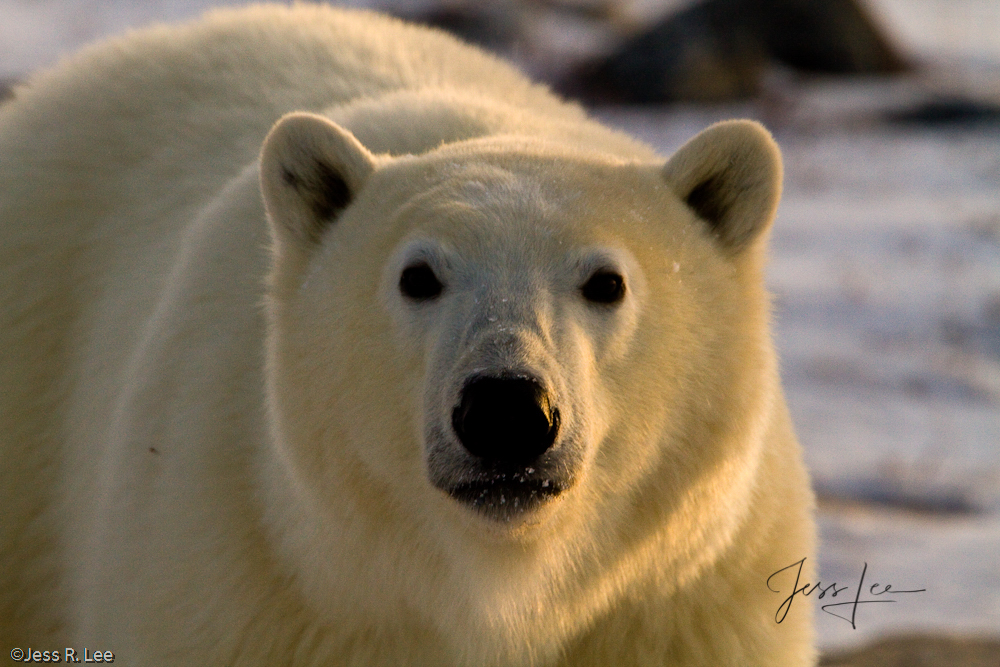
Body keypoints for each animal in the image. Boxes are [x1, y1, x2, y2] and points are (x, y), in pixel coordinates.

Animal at [0, 2, 812, 664]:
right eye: (418, 276)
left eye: (606, 281)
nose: (506, 410)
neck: (491, 592)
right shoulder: (245, 582)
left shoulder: (677, 607)